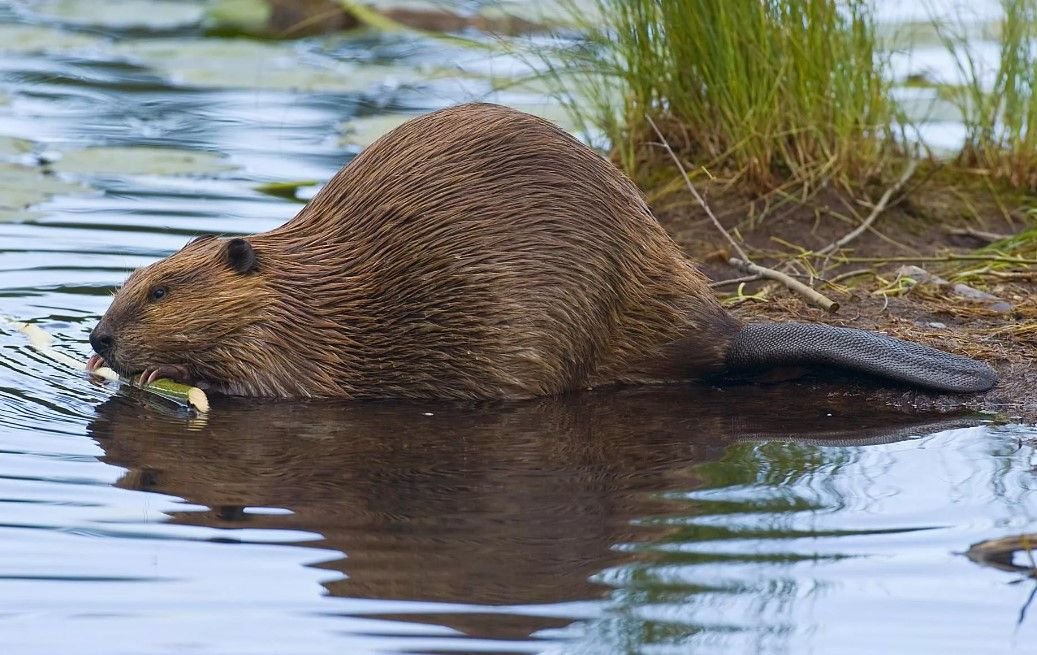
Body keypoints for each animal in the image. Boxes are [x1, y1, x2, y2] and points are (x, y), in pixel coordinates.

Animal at [87, 102, 995, 400]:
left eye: (161, 290)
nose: (98, 333)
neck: (301, 284)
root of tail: (725, 331)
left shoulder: (302, 343)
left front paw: (157, 371)